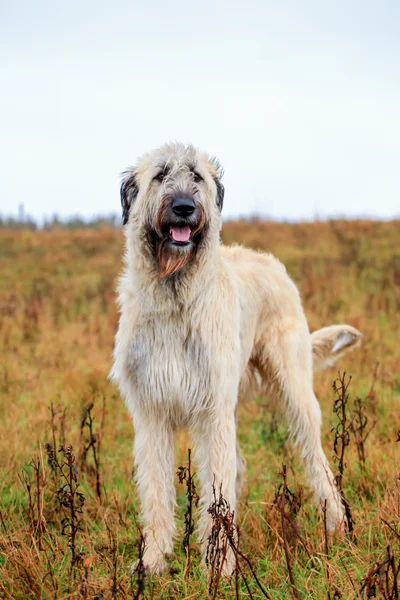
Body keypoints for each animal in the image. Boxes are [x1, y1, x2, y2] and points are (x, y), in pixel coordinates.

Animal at [110, 143, 362, 576]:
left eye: (196, 176)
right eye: (160, 175)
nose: (183, 208)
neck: (175, 296)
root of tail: (273, 264)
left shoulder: (213, 409)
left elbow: (217, 488)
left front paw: (221, 566)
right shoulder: (151, 412)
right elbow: (157, 489)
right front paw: (154, 560)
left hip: (293, 387)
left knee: (316, 459)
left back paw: (336, 525)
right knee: (239, 465)